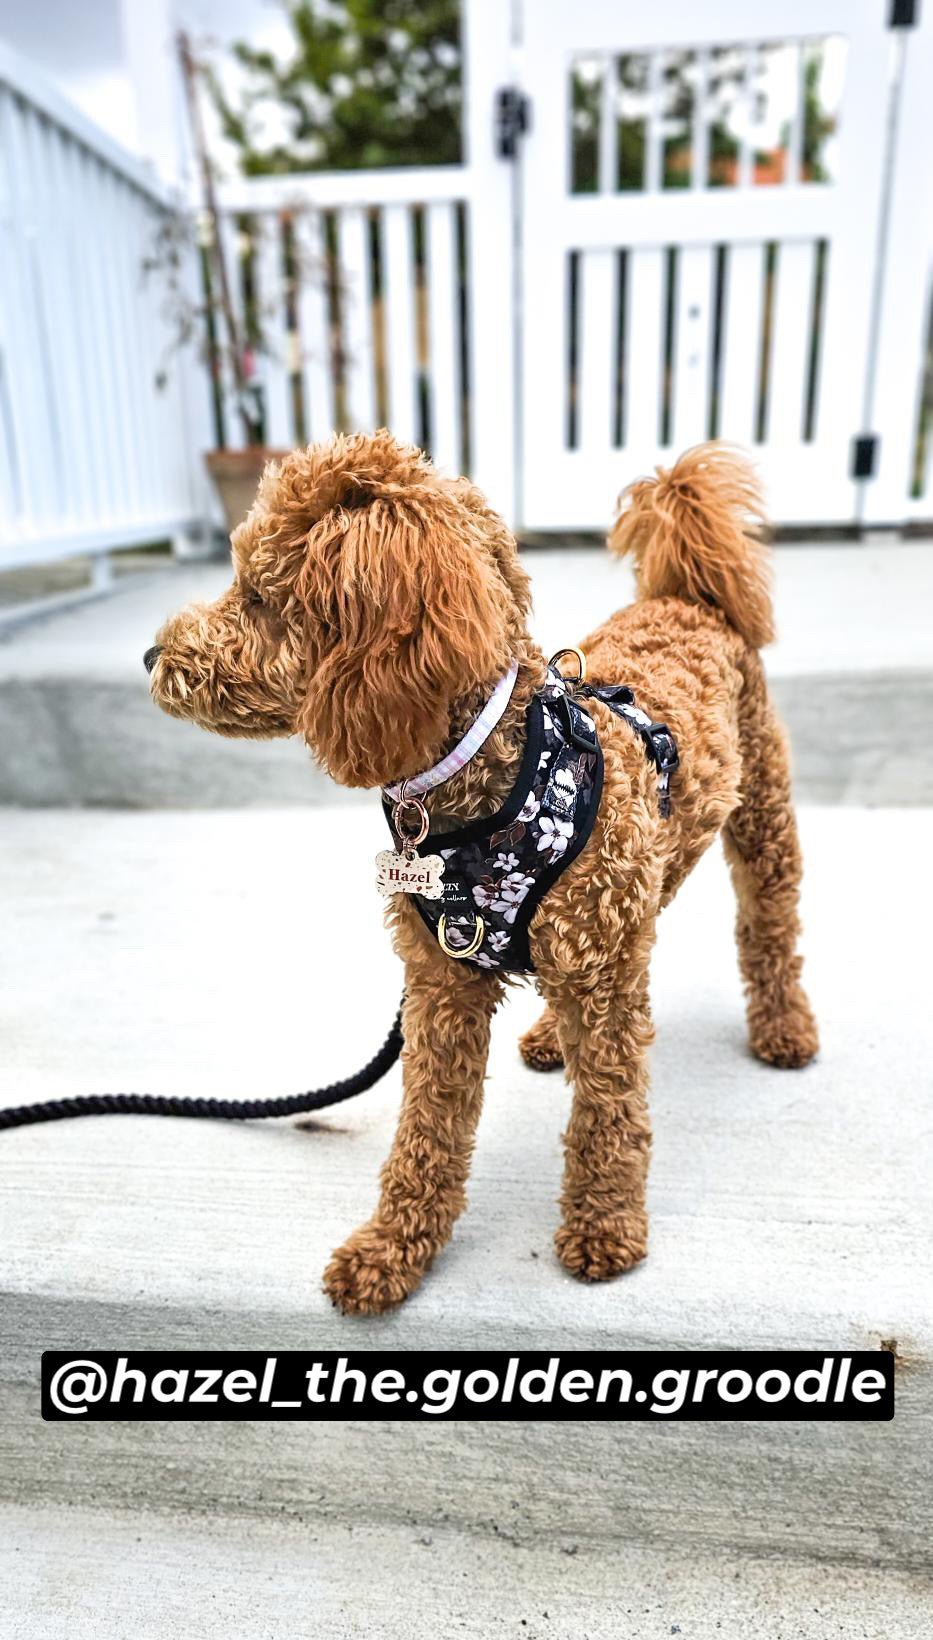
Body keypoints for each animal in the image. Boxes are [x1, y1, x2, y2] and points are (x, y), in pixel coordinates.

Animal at [145, 429, 813, 1312]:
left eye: (257, 593)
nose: (151, 654)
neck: (492, 779)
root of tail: (687, 598)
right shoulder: (440, 983)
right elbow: (428, 1127)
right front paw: (393, 1248)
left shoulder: (595, 978)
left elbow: (607, 1111)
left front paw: (604, 1226)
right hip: (638, 878)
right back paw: (551, 1037)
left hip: (757, 818)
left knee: (768, 925)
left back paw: (784, 1028)